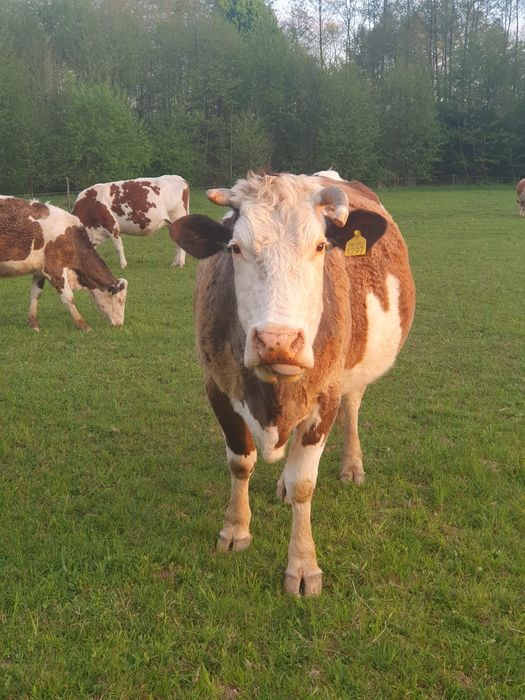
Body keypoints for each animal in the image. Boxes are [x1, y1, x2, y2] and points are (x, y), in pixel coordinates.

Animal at [0, 196, 128, 331]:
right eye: (121, 300)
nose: (120, 324)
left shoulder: (39, 270)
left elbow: (35, 294)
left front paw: (34, 324)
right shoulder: (54, 269)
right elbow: (69, 298)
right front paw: (83, 325)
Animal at [170, 172, 416, 595]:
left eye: (320, 246)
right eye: (234, 247)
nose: (277, 341)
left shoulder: (325, 396)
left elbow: (304, 482)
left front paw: (302, 565)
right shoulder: (218, 388)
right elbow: (240, 462)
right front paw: (235, 529)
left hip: (352, 374)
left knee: (353, 408)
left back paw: (351, 466)